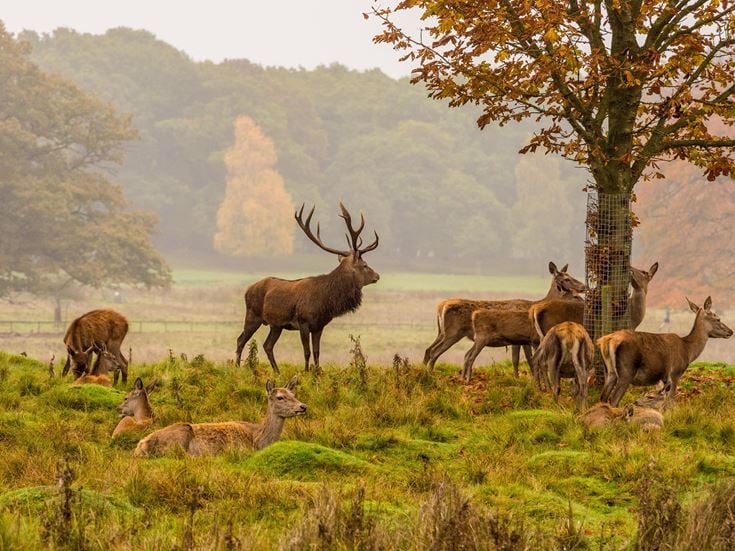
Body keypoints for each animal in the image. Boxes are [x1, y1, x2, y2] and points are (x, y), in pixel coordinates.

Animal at [134, 377, 306, 457]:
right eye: (280, 397)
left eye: (293, 394)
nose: (303, 406)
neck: (258, 440)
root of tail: (140, 445)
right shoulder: (239, 448)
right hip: (180, 436)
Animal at [235, 203, 379, 374]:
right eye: (365, 265)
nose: (377, 276)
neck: (326, 301)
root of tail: (247, 290)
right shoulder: (303, 322)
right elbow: (307, 351)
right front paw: (306, 372)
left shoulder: (319, 326)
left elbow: (317, 352)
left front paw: (317, 373)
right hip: (253, 315)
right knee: (241, 340)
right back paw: (236, 367)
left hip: (276, 325)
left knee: (267, 345)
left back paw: (277, 371)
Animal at [424, 262, 586, 376]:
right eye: (567, 279)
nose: (584, 287)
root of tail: (441, 306)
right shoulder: (524, 337)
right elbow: (523, 359)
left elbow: (519, 359)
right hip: (453, 333)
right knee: (434, 352)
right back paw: (430, 375)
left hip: (442, 332)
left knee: (428, 349)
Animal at [598, 296, 733, 406]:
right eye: (718, 319)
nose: (731, 331)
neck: (688, 350)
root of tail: (607, 340)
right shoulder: (675, 373)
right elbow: (671, 401)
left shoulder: (663, 378)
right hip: (627, 371)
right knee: (613, 400)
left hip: (610, 371)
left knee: (603, 398)